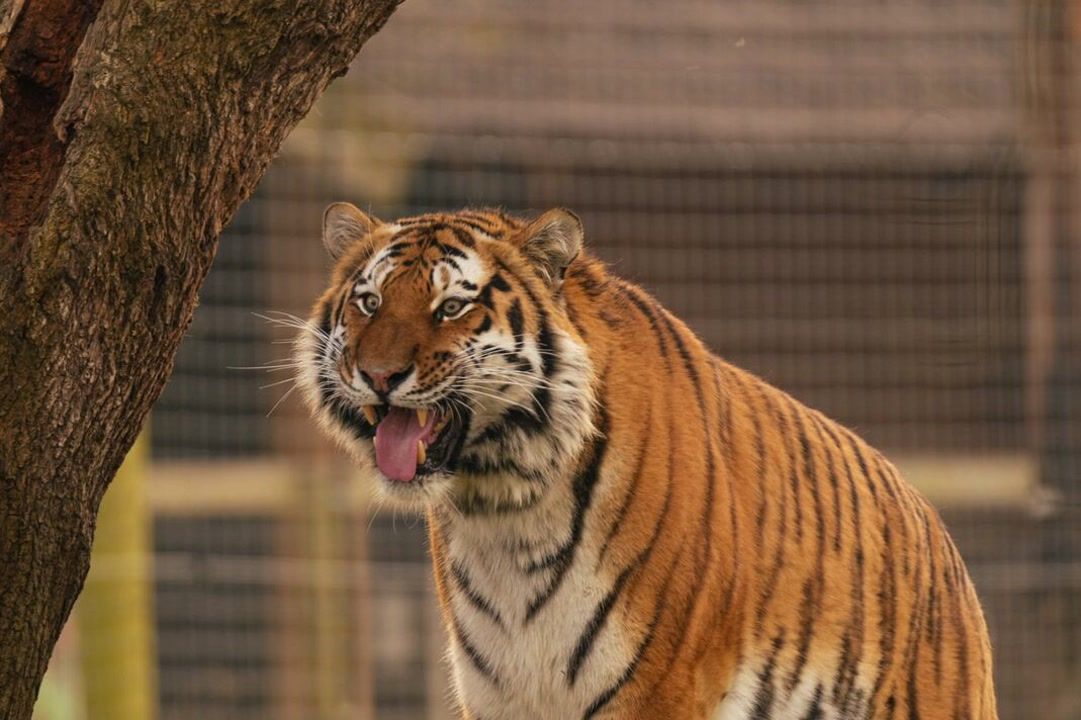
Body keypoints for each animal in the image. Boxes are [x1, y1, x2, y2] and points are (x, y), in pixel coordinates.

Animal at [295, 202, 998, 720]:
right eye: (369, 302)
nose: (378, 375)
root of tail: (938, 535)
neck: (505, 507)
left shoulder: (658, 688)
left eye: (452, 307)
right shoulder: (498, 692)